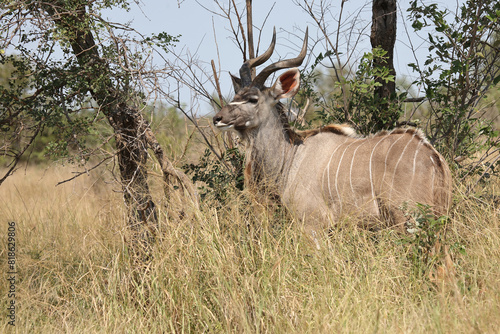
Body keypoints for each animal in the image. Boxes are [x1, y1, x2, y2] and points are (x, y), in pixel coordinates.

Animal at [213, 29, 456, 235]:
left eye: (253, 99)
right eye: (235, 96)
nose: (218, 118)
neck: (291, 157)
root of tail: (433, 157)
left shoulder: (313, 224)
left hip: (406, 220)